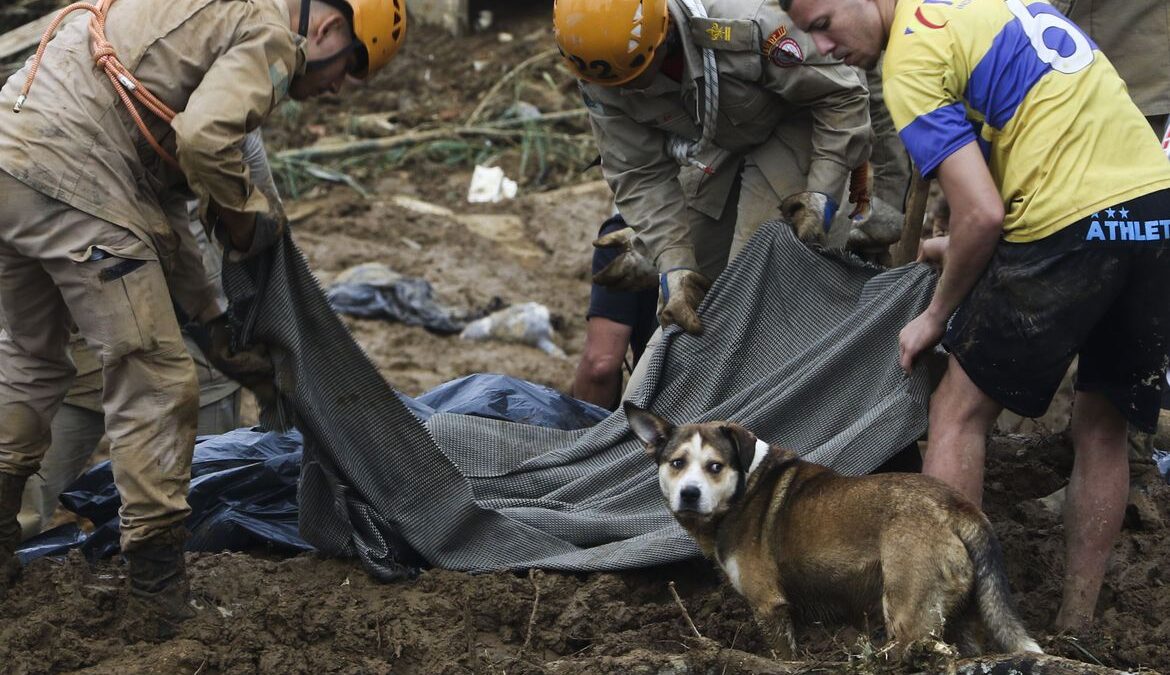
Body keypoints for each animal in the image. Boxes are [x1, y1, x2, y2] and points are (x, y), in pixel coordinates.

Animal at [627, 400, 1048, 659]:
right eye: (677, 463)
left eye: (715, 466)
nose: (689, 494)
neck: (745, 486)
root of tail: (956, 507)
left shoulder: (769, 606)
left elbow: (784, 657)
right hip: (965, 615)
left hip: (908, 615)